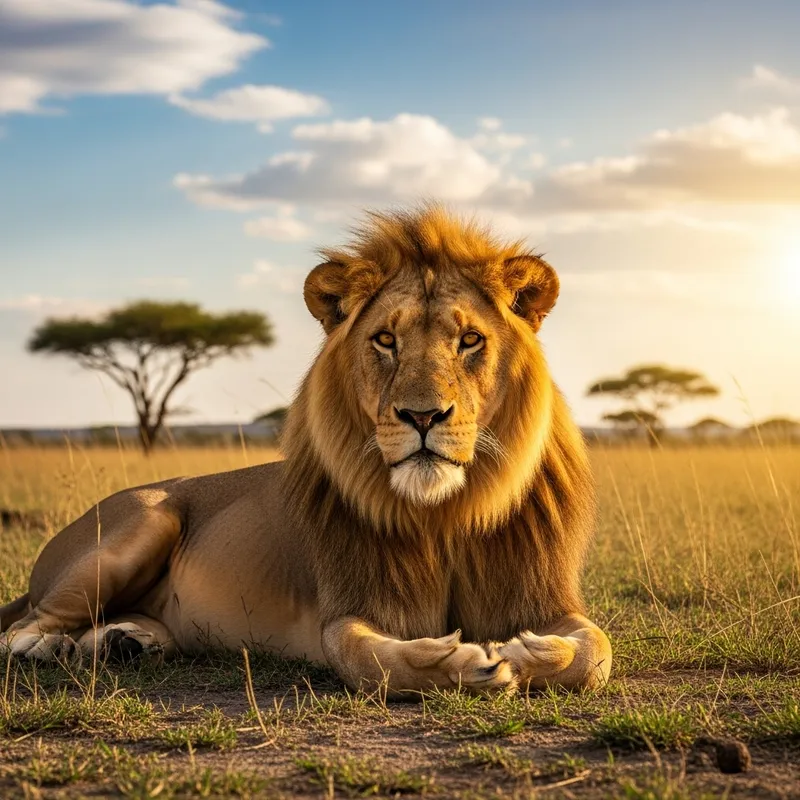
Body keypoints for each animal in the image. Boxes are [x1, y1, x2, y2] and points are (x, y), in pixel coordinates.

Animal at [0, 205, 611, 695]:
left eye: (470, 340)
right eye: (385, 340)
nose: (422, 417)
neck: (448, 514)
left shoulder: (550, 602)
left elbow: (597, 651)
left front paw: (529, 651)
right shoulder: (348, 608)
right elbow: (368, 660)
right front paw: (462, 662)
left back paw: (125, 642)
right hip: (142, 523)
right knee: (21, 625)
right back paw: (47, 647)